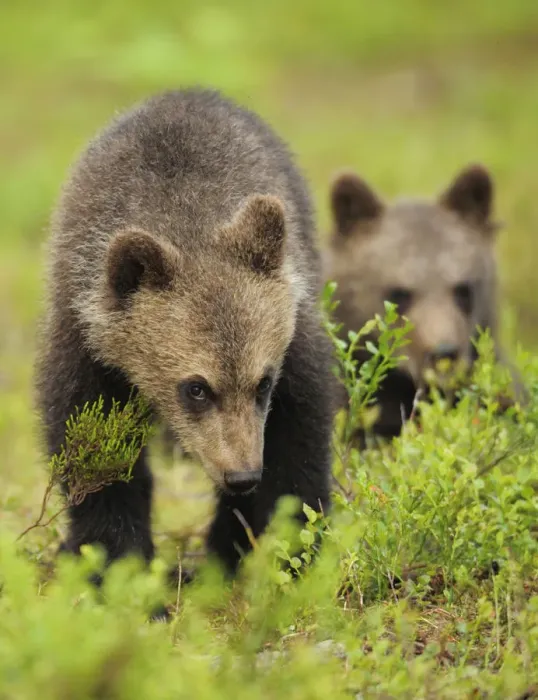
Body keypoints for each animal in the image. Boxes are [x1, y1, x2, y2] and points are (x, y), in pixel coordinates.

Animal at [35, 88, 334, 577]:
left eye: (263, 383)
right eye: (196, 388)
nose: (242, 475)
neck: (183, 218)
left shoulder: (295, 334)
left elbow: (299, 440)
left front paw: (295, 548)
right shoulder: (86, 342)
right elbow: (95, 450)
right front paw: (114, 558)